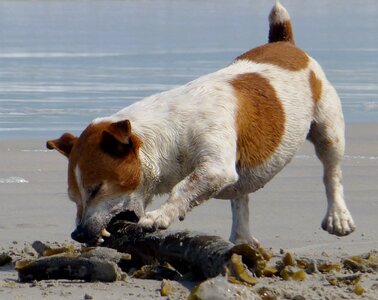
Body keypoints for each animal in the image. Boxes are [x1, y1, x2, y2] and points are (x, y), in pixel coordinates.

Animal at [46, 1, 354, 246]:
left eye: (95, 189)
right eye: (73, 197)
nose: (77, 235)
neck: (167, 134)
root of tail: (284, 43)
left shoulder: (215, 166)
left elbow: (182, 188)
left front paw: (158, 217)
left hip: (329, 131)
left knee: (332, 174)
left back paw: (338, 216)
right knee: (241, 198)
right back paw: (241, 238)